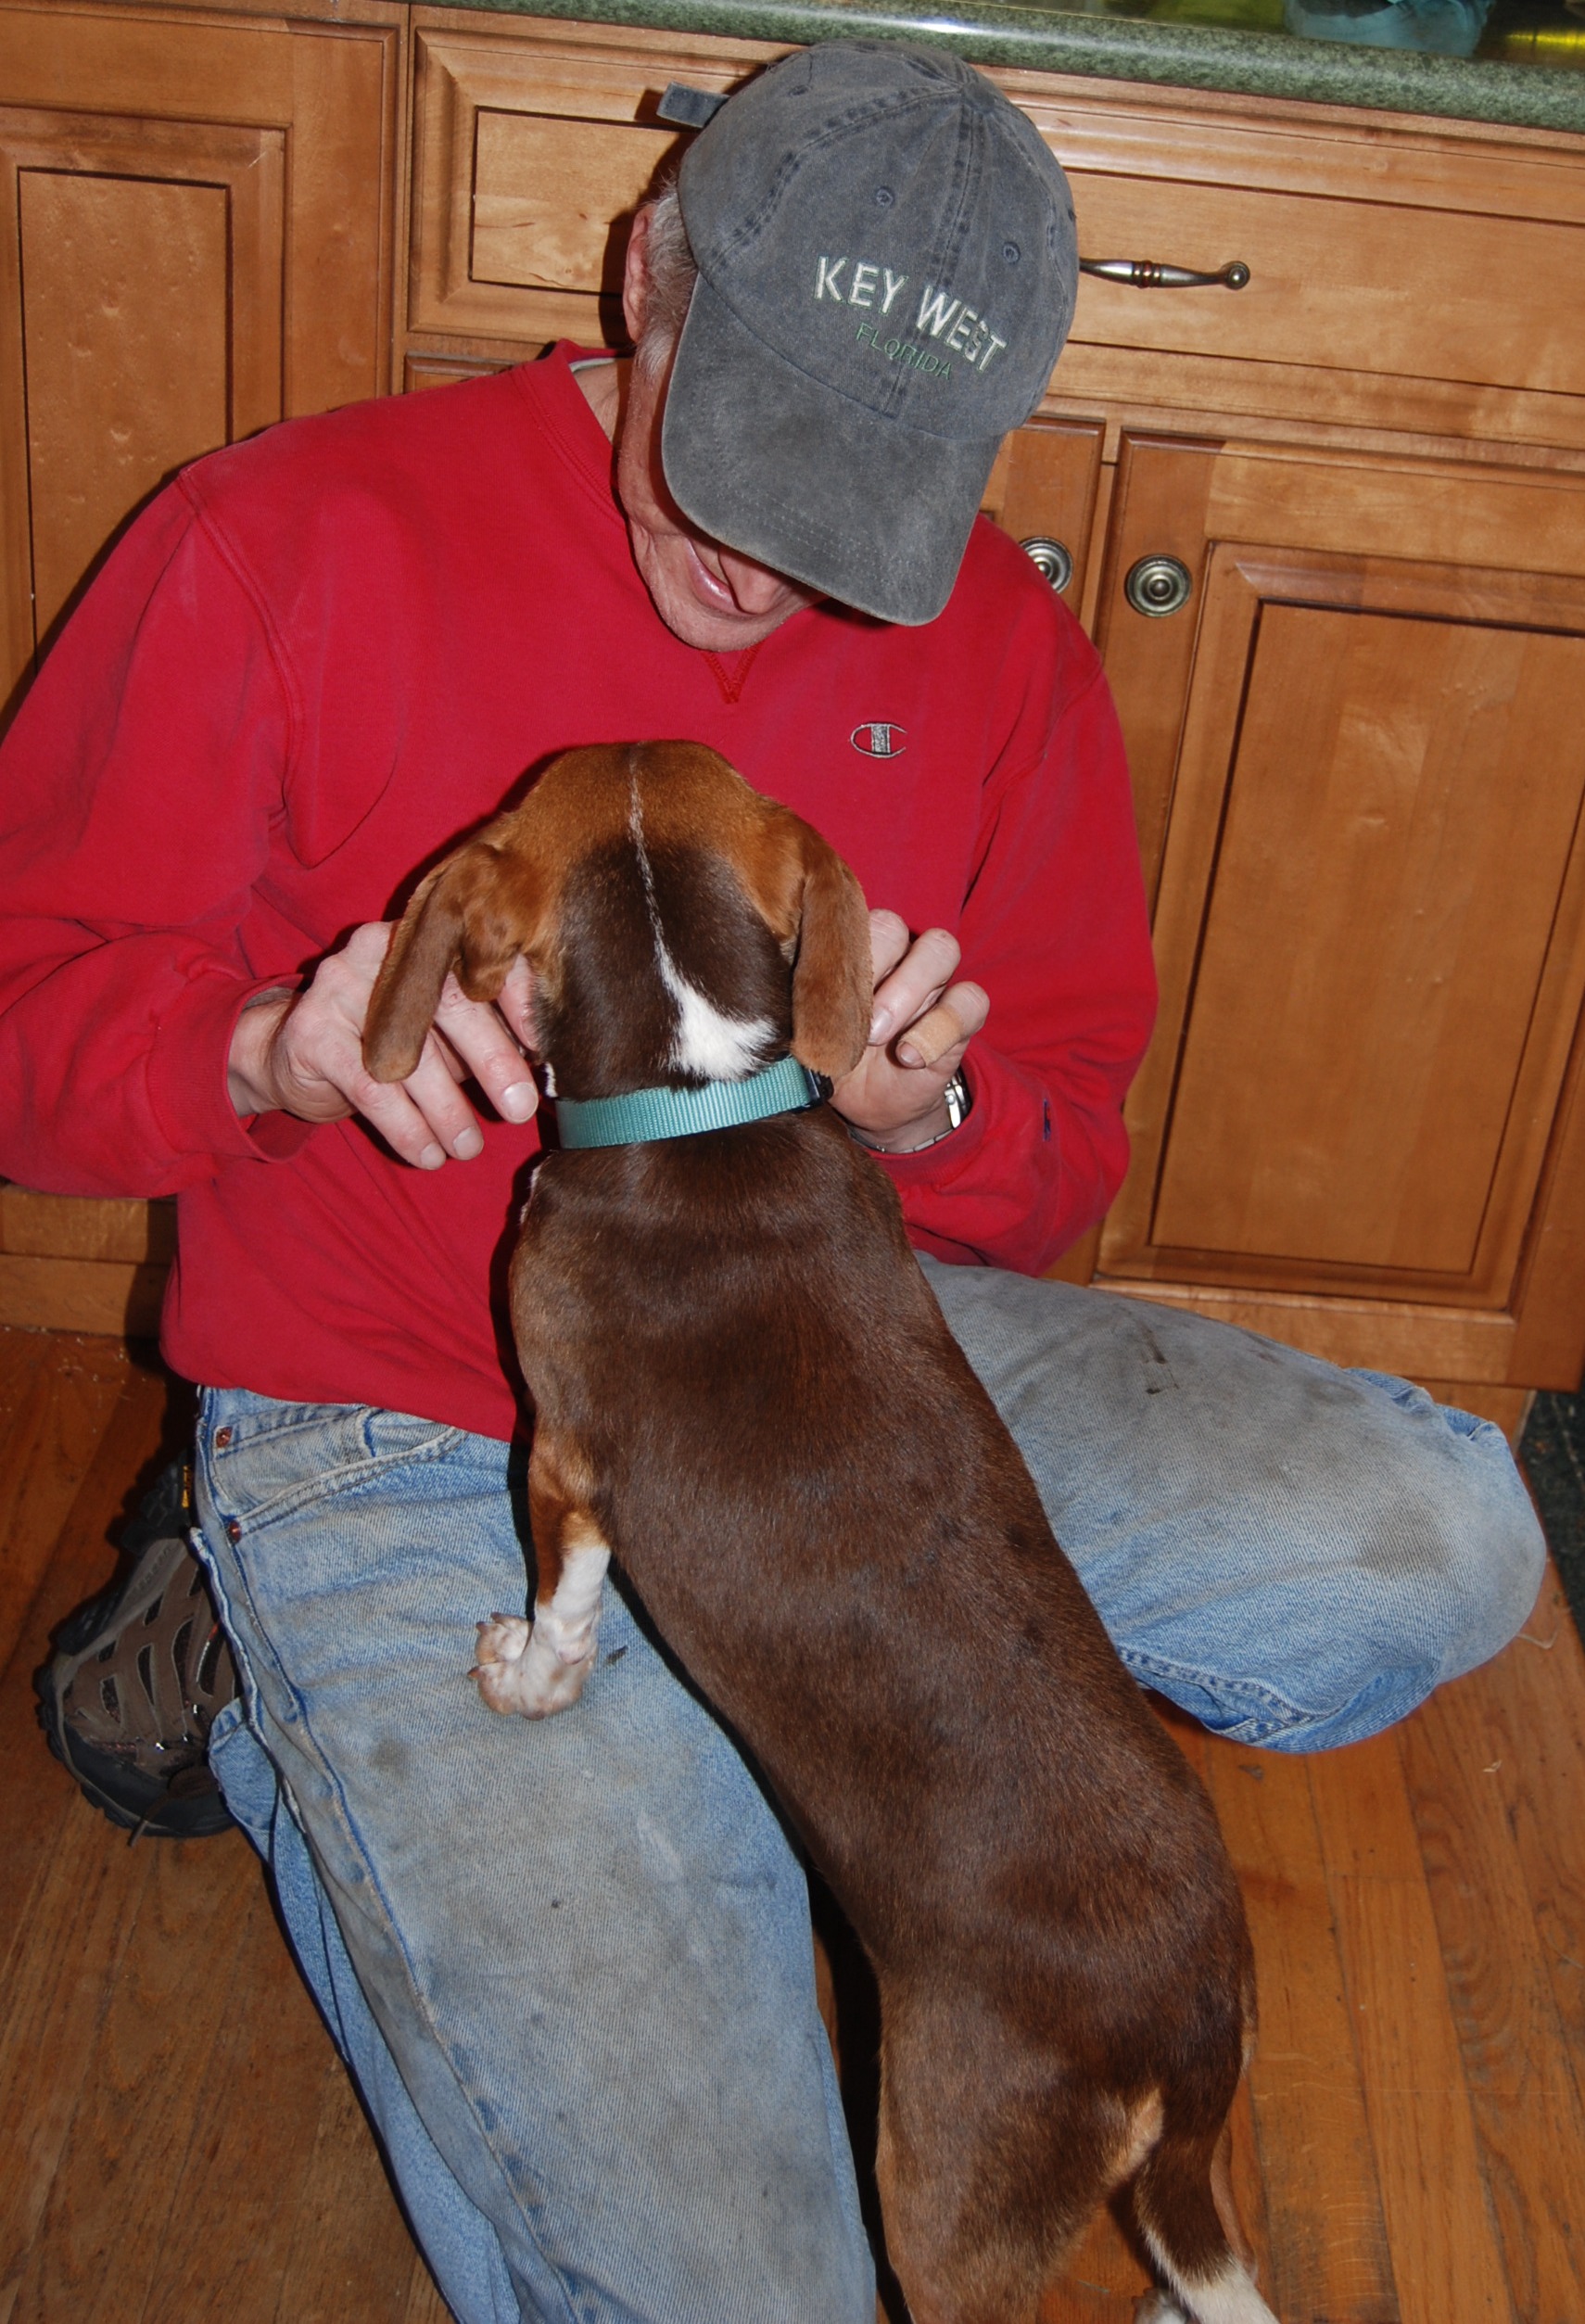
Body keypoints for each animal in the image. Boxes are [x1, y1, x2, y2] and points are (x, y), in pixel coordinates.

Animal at [364, 740, 1278, 2324]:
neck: (691, 1092)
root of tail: (1184, 2021)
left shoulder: (562, 1454)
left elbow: (561, 1602)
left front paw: (524, 1676)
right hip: (1165, 2173)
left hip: (941, 2179)